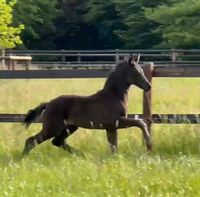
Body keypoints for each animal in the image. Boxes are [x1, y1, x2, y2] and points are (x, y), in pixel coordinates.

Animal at [22, 53, 152, 155]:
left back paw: (80, 154)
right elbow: (140, 122)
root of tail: (48, 103)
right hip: (52, 128)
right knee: (31, 141)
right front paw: (149, 145)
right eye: (137, 72)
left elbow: (113, 146)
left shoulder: (111, 127)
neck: (113, 96)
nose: (149, 86)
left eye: (142, 71)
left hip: (70, 127)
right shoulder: (116, 121)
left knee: (57, 141)